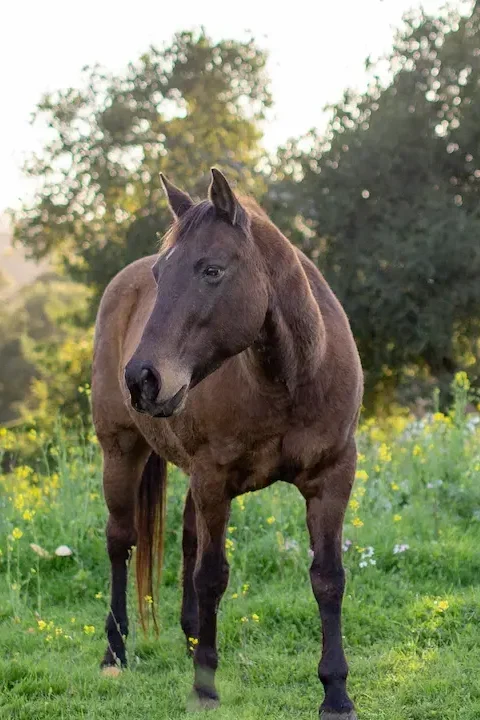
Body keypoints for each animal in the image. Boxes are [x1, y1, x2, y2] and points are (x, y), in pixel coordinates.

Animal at [91, 168, 363, 719]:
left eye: (212, 270)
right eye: (161, 276)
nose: (141, 380)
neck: (289, 380)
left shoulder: (332, 477)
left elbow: (328, 576)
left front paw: (336, 692)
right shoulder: (214, 480)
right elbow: (212, 575)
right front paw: (204, 688)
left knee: (186, 540)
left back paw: (193, 638)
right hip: (121, 451)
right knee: (121, 542)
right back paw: (115, 652)